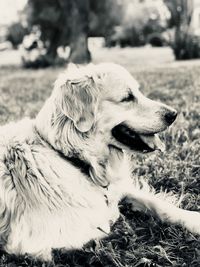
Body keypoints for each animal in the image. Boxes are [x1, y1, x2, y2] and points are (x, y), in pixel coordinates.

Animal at [0, 63, 200, 262]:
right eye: (127, 97)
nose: (173, 114)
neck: (80, 162)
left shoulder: (117, 188)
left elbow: (156, 203)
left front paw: (193, 219)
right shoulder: (40, 240)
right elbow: (106, 228)